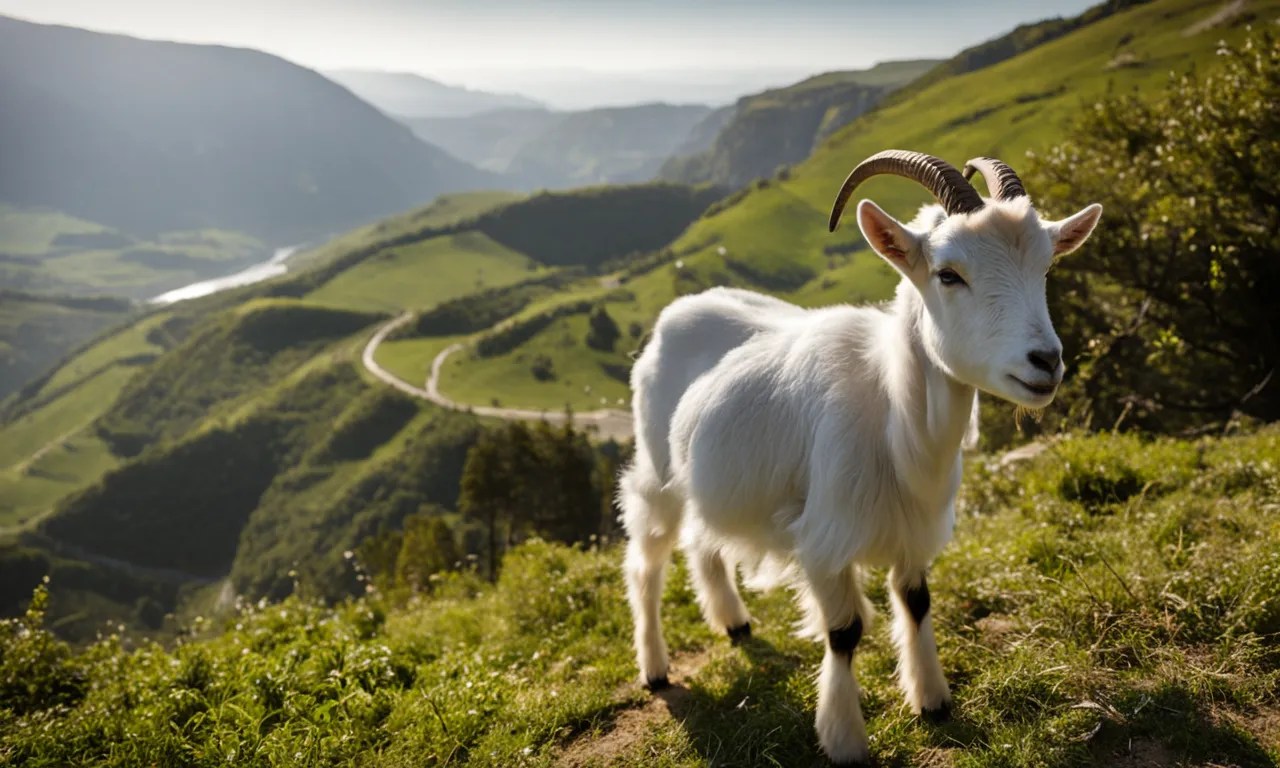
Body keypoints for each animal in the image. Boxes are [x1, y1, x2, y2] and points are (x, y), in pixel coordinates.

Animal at [619, 150, 1102, 765]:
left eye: (1045, 267)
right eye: (949, 274)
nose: (1046, 362)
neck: (892, 417)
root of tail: (676, 312)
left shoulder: (913, 527)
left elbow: (916, 600)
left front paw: (932, 699)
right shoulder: (824, 540)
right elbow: (844, 632)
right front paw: (845, 738)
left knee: (704, 540)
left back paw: (733, 622)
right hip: (657, 471)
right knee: (647, 559)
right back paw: (655, 667)